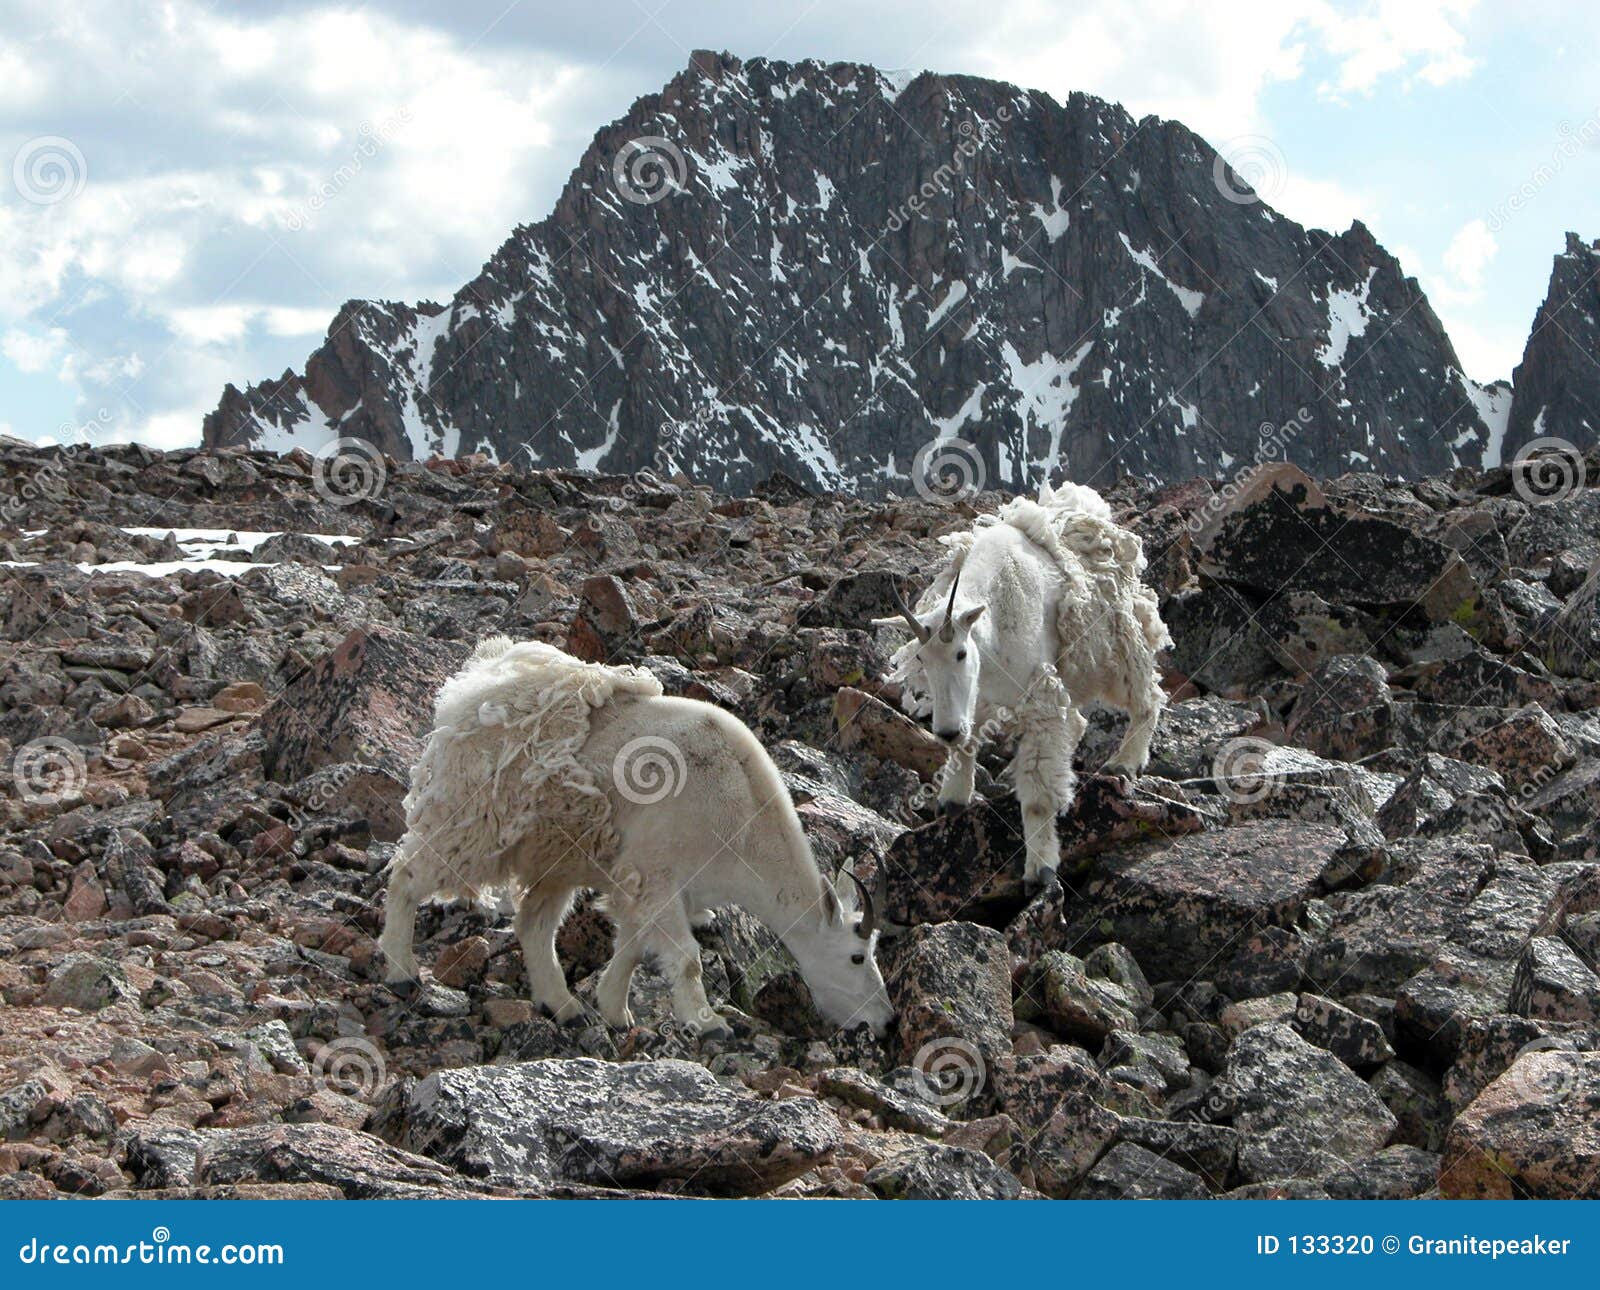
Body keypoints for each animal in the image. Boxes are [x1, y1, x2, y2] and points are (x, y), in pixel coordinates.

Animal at [378, 637, 893, 1038]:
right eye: (856, 957)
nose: (883, 1022)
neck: (740, 816)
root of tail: (472, 685)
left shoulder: (646, 886)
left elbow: (631, 946)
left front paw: (614, 1010)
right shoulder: (656, 874)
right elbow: (685, 957)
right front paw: (708, 1023)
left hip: (557, 853)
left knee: (534, 925)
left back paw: (563, 1006)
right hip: (472, 820)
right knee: (407, 876)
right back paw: (402, 971)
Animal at [876, 481, 1170, 889]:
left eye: (961, 653)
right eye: (921, 659)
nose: (946, 732)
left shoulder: (1039, 700)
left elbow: (1038, 794)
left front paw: (1040, 870)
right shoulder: (975, 700)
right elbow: (966, 746)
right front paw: (952, 800)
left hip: (1119, 643)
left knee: (1147, 695)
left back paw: (1124, 762)